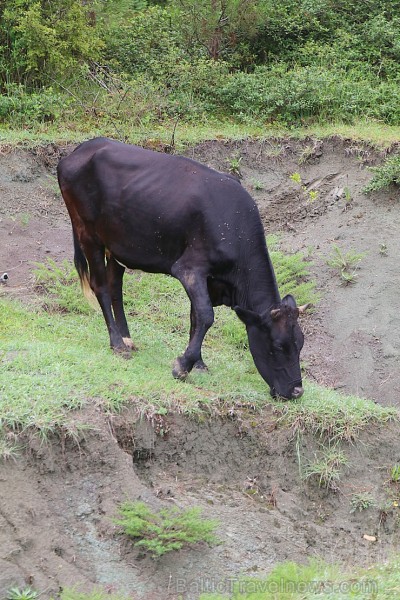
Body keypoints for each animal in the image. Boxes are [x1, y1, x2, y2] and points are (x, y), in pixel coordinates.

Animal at [56, 136, 308, 398]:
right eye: (278, 346)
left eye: (300, 343)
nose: (297, 391)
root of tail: (86, 146)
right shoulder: (189, 269)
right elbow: (206, 315)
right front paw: (183, 366)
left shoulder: (208, 280)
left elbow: (195, 316)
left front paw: (198, 363)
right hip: (88, 234)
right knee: (101, 286)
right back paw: (117, 344)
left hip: (117, 243)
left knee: (116, 286)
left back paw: (127, 339)